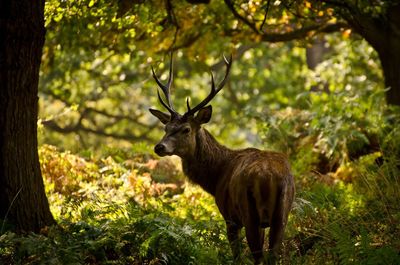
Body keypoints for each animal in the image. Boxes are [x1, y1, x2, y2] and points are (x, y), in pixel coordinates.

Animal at [148, 54, 296, 264]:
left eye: (186, 129)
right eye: (166, 128)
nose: (159, 147)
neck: (216, 176)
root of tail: (270, 178)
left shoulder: (230, 216)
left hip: (250, 212)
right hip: (282, 213)